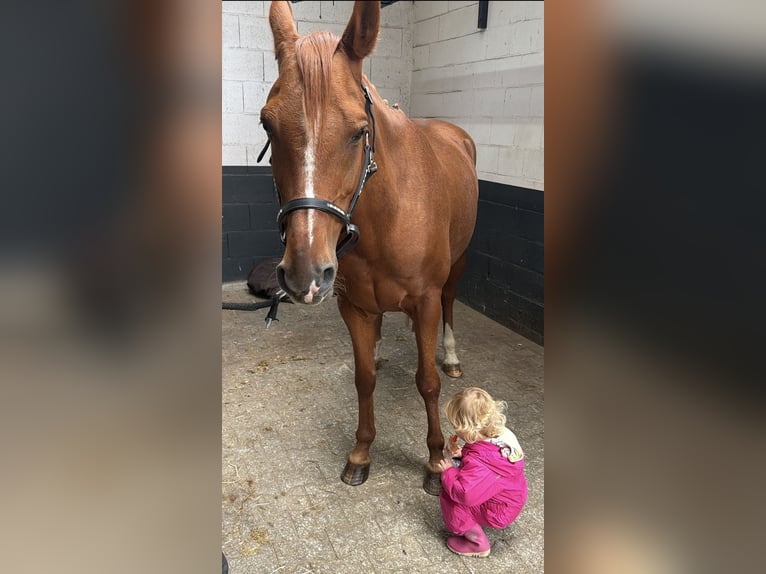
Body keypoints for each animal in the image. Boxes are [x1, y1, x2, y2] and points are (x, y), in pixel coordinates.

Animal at [261, 0, 478, 494]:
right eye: (267, 123)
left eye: (360, 131)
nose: (304, 275)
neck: (387, 217)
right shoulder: (355, 307)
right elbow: (364, 379)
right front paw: (360, 453)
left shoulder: (426, 301)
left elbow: (428, 382)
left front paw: (435, 461)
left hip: (457, 266)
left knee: (452, 305)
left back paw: (452, 356)